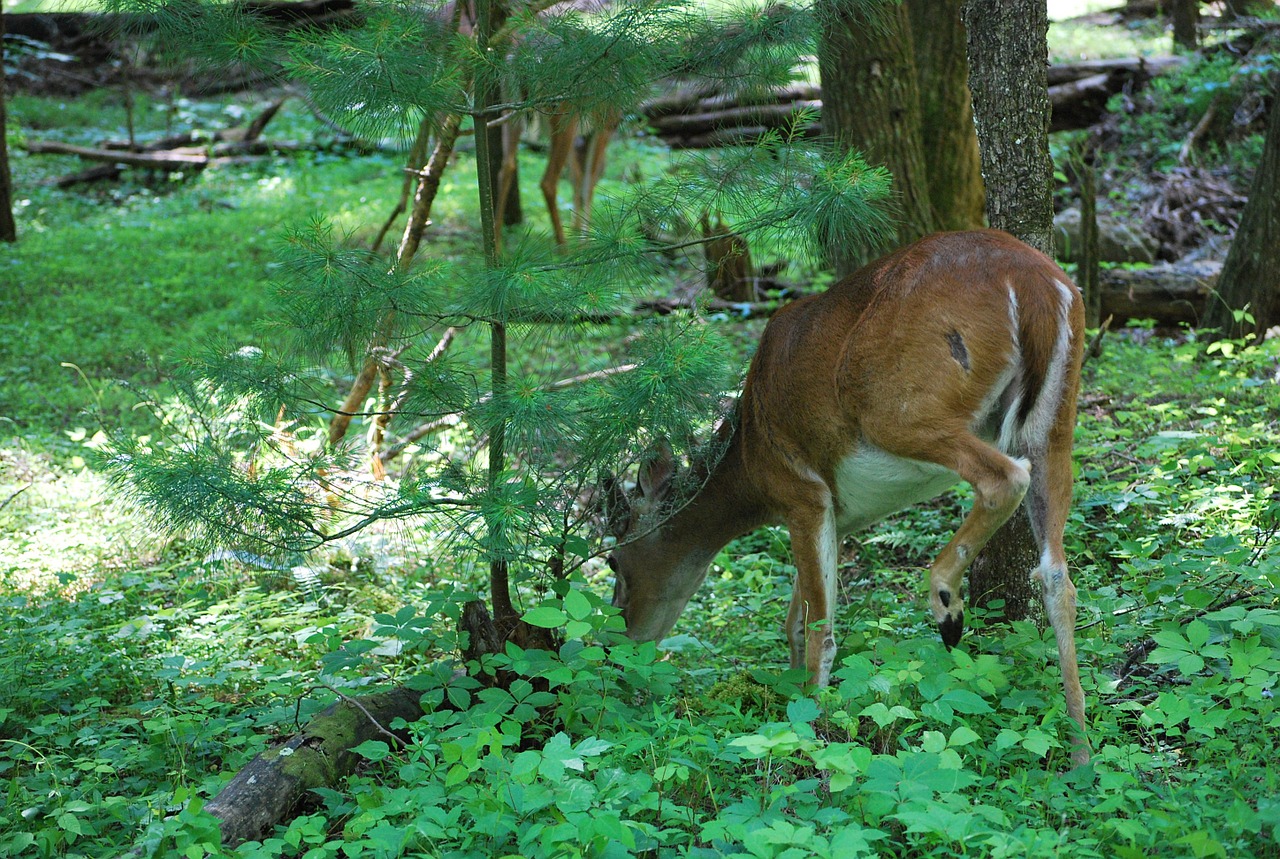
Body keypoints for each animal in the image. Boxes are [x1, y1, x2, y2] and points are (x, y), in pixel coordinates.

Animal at [604, 230, 1085, 768]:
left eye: (613, 561)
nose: (618, 645)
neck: (749, 459)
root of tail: (1035, 282)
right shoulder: (838, 514)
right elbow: (794, 619)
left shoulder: (802, 491)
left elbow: (817, 626)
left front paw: (808, 736)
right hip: (1055, 418)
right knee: (1057, 575)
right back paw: (1081, 756)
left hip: (898, 406)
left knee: (1005, 477)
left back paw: (946, 602)